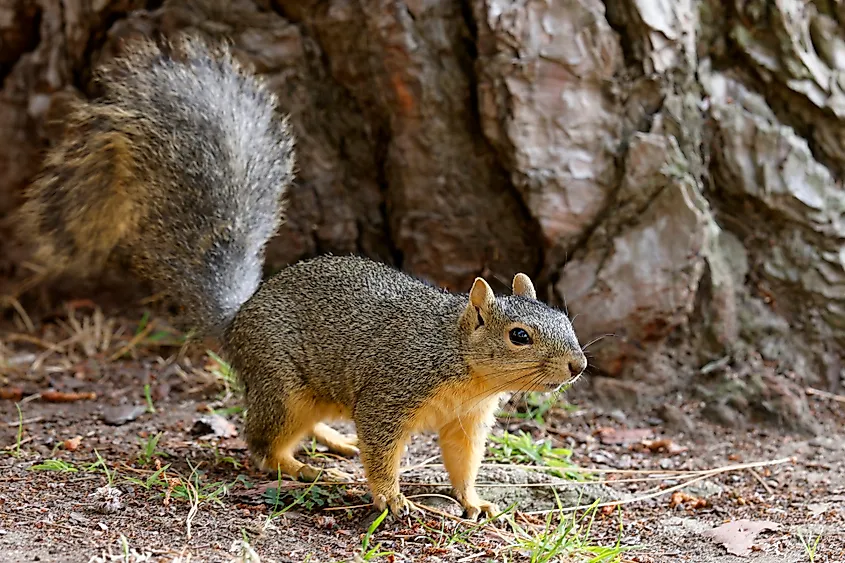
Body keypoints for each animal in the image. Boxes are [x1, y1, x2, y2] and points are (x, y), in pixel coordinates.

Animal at [20, 34, 588, 520]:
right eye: (519, 336)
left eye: (565, 319)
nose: (578, 365)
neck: (461, 363)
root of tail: (237, 318)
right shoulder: (392, 393)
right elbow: (381, 449)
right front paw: (391, 499)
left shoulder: (466, 422)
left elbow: (463, 462)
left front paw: (474, 502)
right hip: (281, 382)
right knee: (261, 443)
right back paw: (304, 467)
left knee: (307, 426)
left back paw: (335, 441)